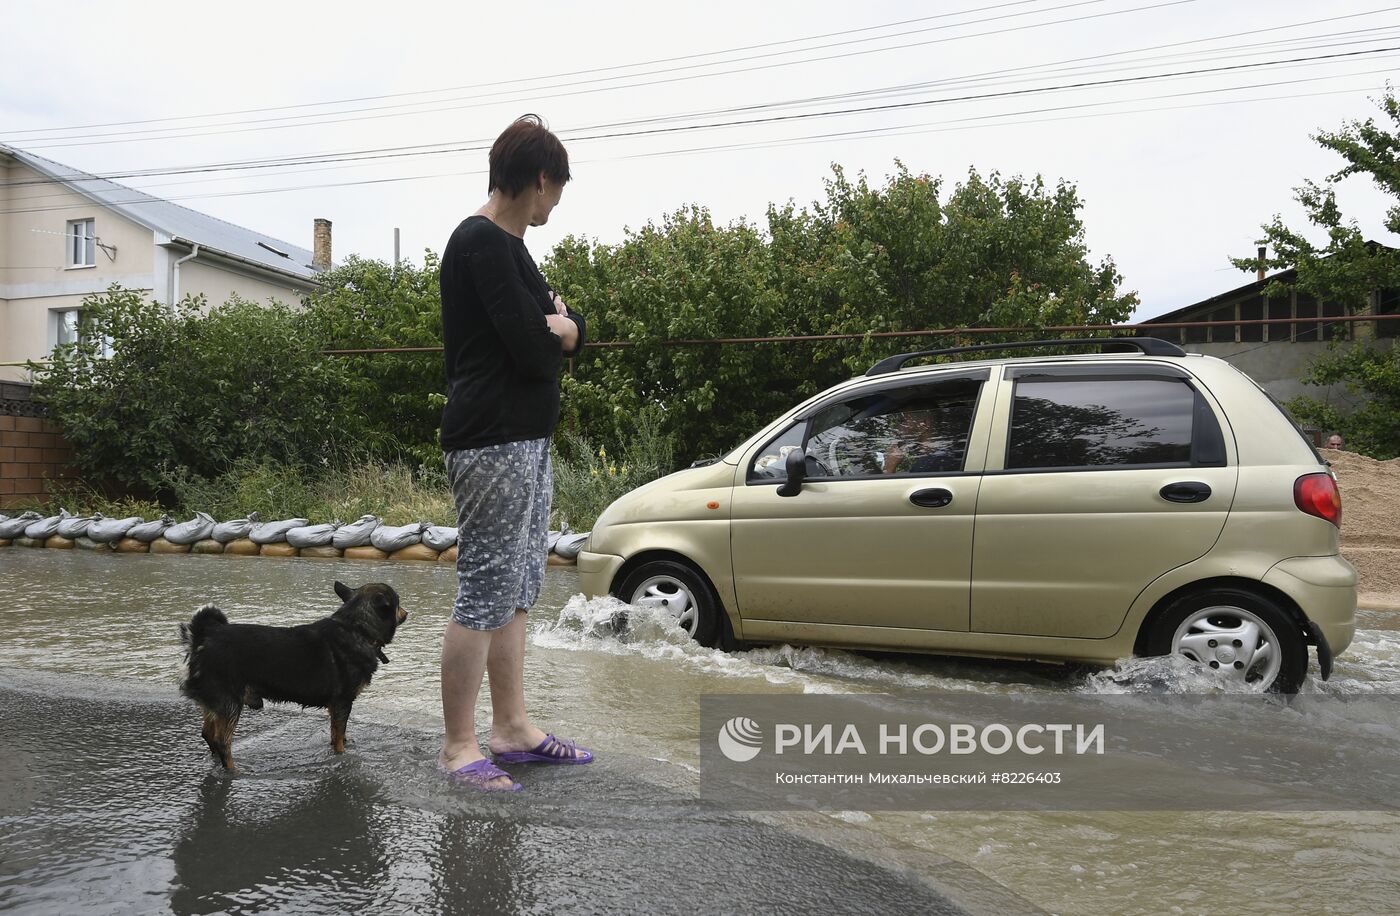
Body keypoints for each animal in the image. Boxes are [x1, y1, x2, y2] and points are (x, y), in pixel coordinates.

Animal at [179, 585, 406, 773]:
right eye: (398, 602)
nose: (406, 612)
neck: (357, 628)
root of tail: (203, 638)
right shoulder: (343, 702)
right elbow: (339, 736)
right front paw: (341, 756)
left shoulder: (336, 707)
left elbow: (336, 734)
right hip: (230, 703)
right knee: (222, 741)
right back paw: (232, 769)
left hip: (216, 704)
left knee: (208, 734)